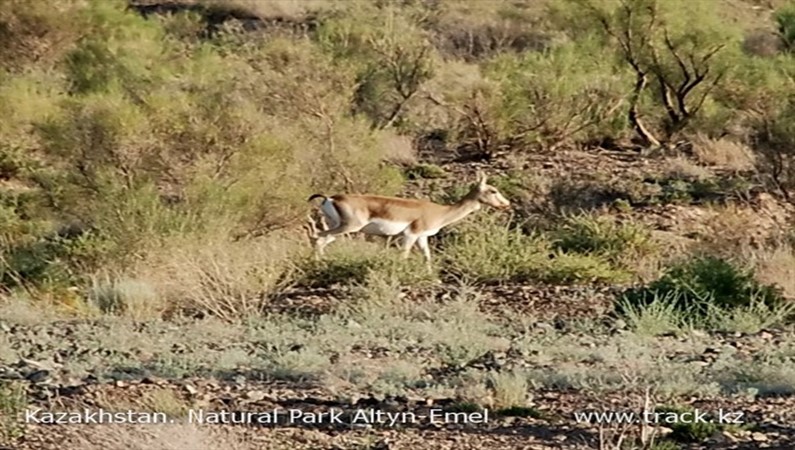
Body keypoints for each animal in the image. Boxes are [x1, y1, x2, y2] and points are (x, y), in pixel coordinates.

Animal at [304, 173, 510, 268]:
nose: (506, 204)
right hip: (347, 227)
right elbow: (404, 255)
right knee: (318, 237)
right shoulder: (410, 234)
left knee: (320, 238)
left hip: (339, 228)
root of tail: (330, 198)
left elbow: (427, 256)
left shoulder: (422, 237)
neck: (441, 211)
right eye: (493, 190)